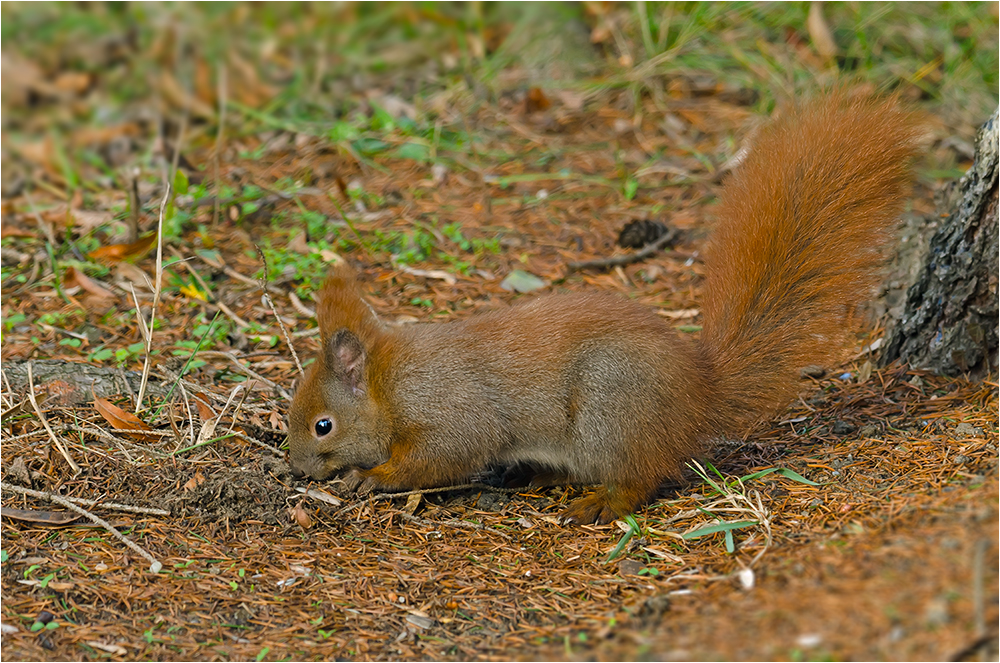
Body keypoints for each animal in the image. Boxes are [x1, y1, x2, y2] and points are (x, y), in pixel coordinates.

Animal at [286, 89, 916, 524]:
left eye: (323, 425)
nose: (297, 469)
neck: (389, 384)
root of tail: (700, 394)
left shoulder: (449, 408)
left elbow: (444, 453)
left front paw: (372, 477)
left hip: (611, 410)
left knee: (642, 477)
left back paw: (599, 503)